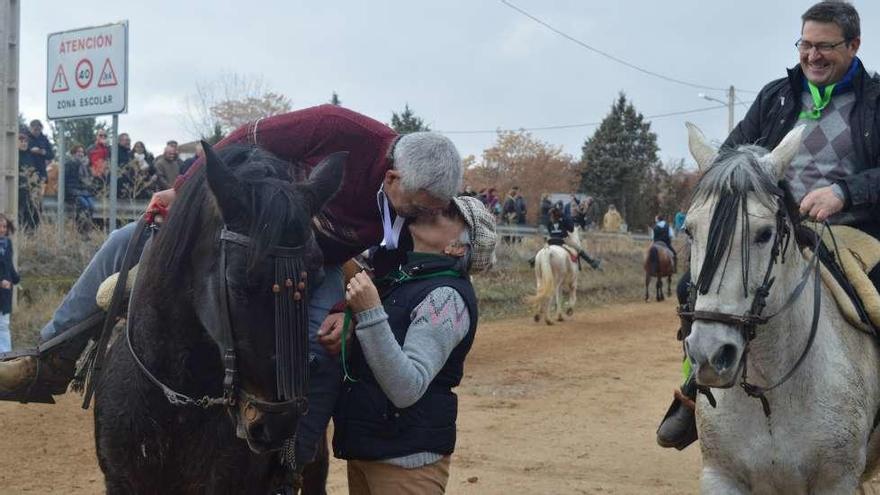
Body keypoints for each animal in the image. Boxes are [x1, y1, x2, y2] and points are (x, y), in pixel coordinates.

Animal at [688, 122, 880, 494]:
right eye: (689, 231)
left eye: (764, 233)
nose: (709, 353)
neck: (771, 392)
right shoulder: (720, 476)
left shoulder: (838, 481)